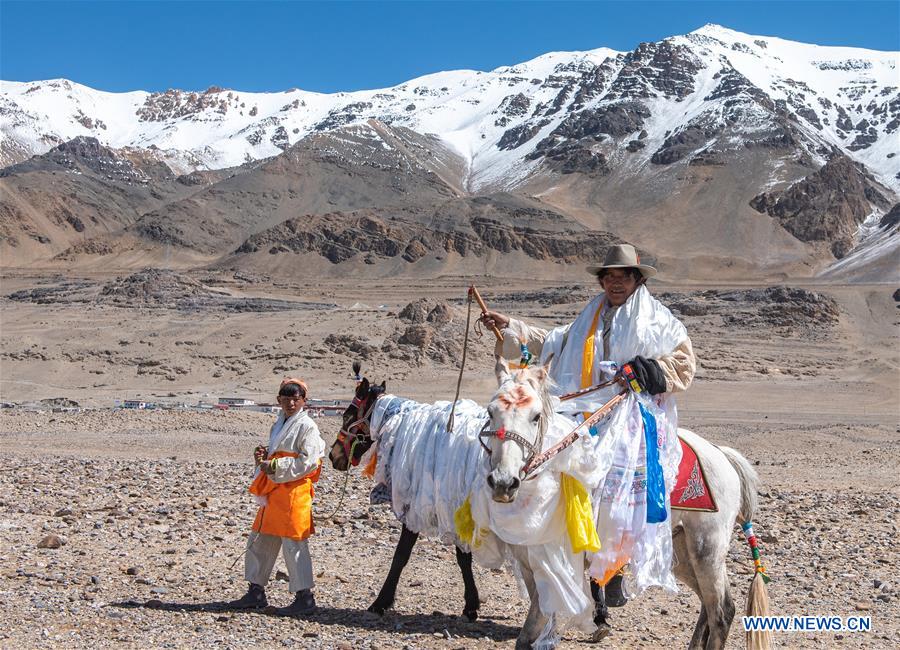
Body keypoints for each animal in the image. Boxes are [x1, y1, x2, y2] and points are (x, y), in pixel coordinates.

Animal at [326, 372, 482, 620]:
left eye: (347, 415)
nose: (334, 455)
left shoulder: (419, 507)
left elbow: (401, 555)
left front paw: (380, 602)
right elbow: (463, 558)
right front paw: (471, 605)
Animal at [482, 360, 768, 648]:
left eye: (536, 416)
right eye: (491, 411)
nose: (504, 483)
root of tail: (720, 453)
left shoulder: (553, 567)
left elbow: (535, 625)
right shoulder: (528, 565)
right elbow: (528, 630)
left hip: (707, 549)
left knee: (722, 611)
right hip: (682, 550)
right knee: (707, 606)